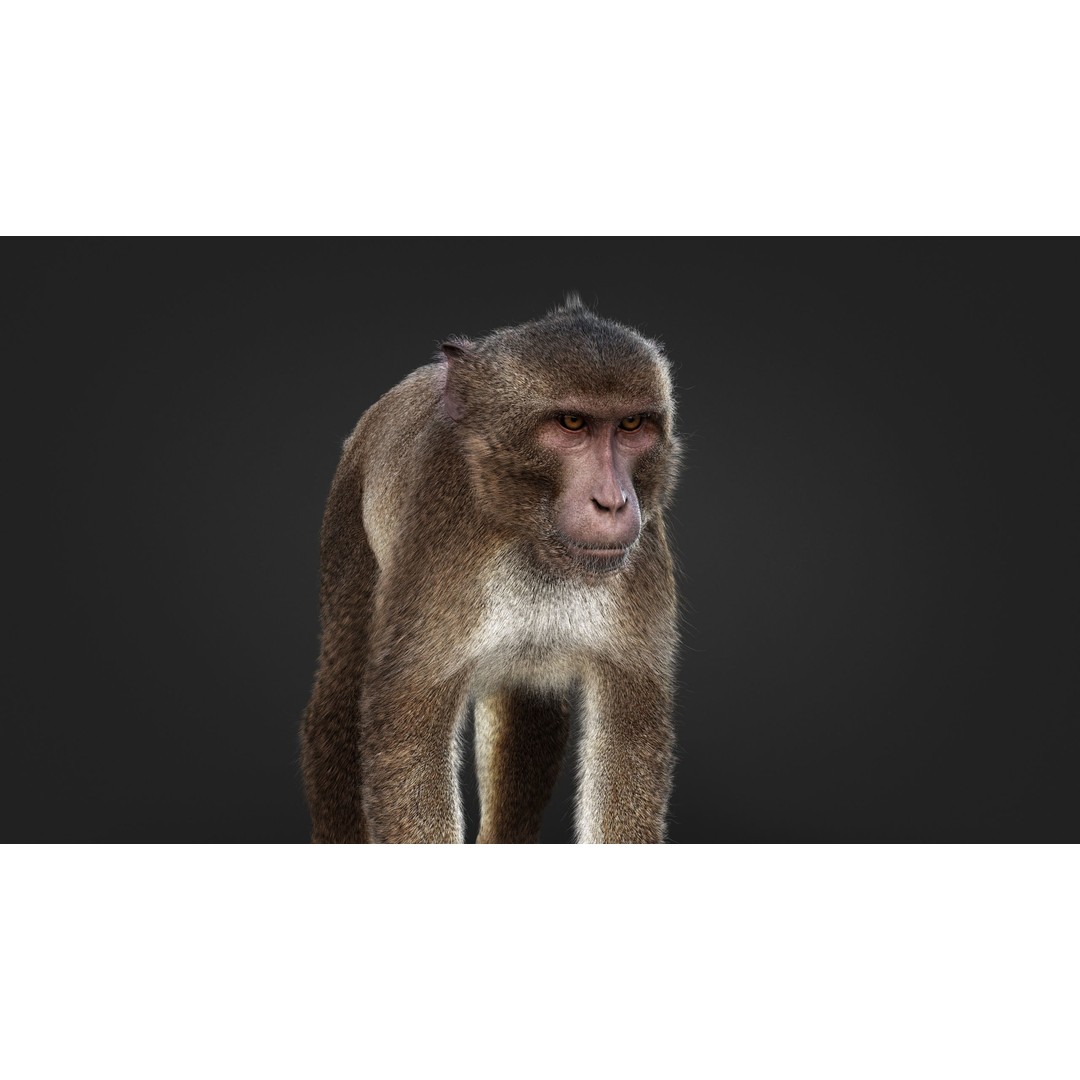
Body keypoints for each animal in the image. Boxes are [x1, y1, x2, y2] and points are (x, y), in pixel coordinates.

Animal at [300, 295, 681, 843]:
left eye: (631, 427)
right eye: (571, 423)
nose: (612, 502)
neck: (532, 539)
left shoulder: (641, 553)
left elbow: (628, 735)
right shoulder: (445, 542)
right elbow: (406, 731)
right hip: (349, 513)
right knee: (339, 702)